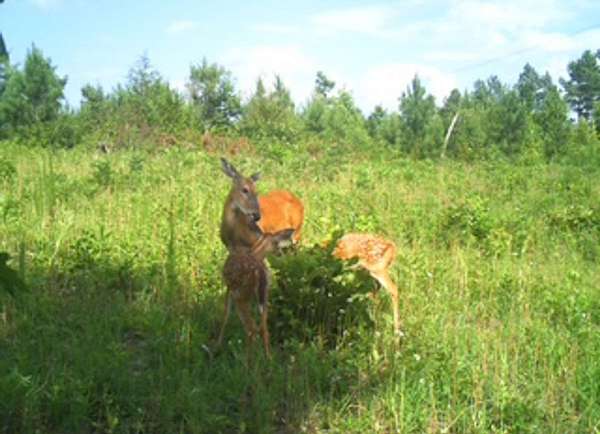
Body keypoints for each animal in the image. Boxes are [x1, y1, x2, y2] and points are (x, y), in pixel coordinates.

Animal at [217, 228, 295, 359]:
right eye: (277, 244)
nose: (281, 254)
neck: (256, 252)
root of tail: (259, 271)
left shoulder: (229, 288)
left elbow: (225, 315)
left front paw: (217, 345)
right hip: (263, 296)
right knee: (264, 328)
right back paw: (268, 357)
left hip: (242, 295)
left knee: (251, 328)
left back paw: (247, 361)